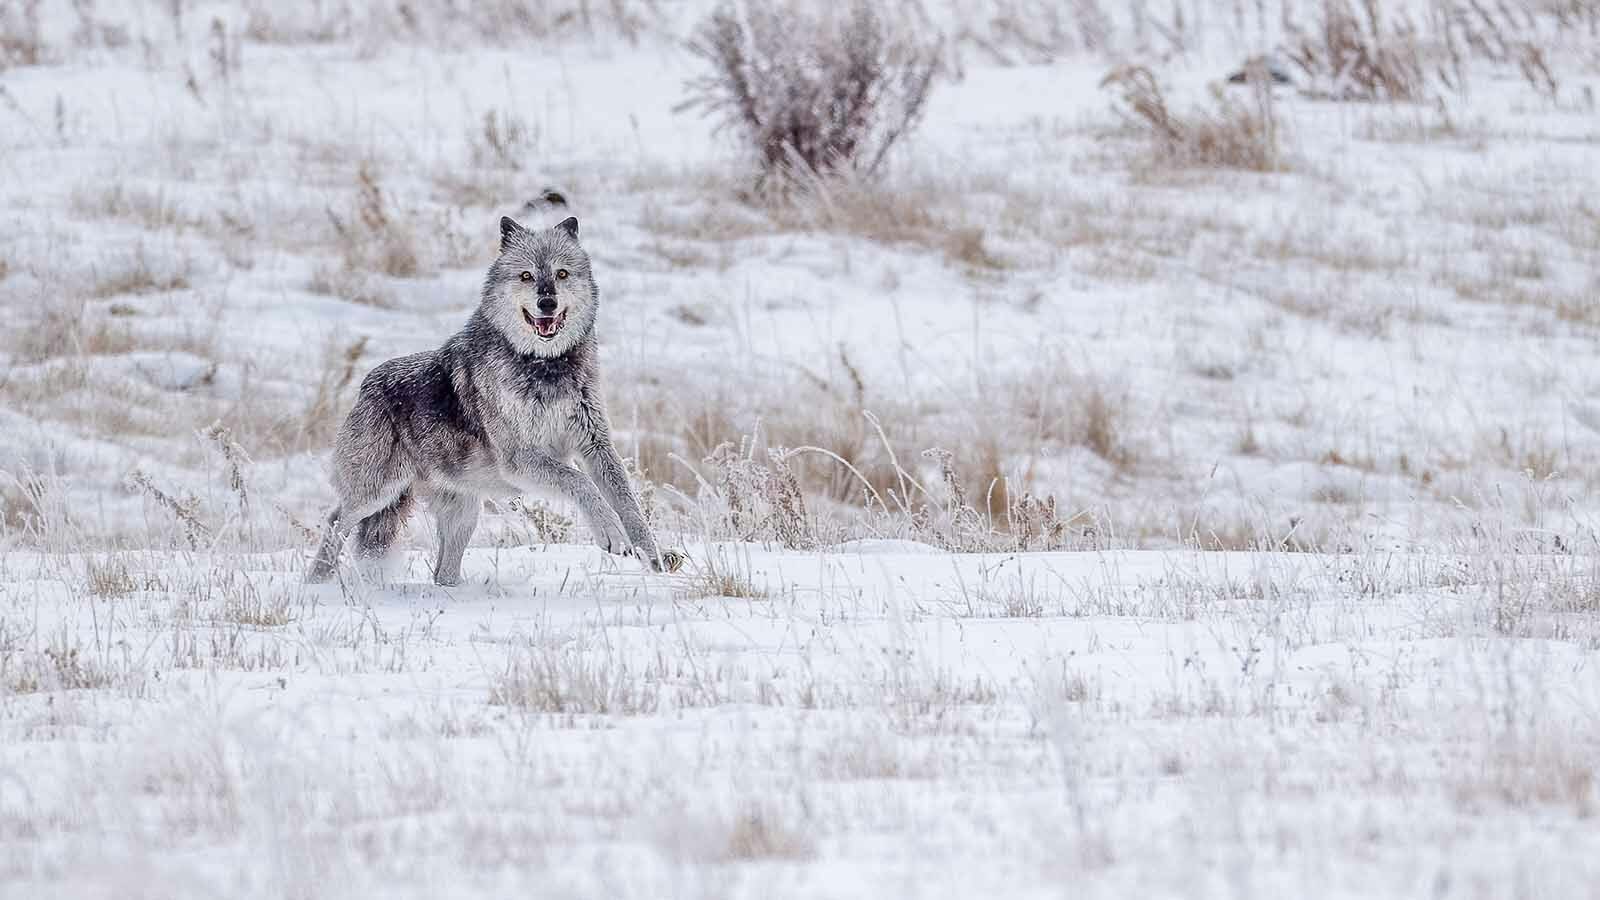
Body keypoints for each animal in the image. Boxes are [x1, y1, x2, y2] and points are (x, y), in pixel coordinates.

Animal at [307, 215, 672, 586]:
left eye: (561, 274)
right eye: (526, 276)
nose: (547, 303)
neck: (544, 366)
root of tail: (366, 384)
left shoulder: (596, 446)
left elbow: (629, 503)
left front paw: (654, 558)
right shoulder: (521, 459)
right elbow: (579, 482)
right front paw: (611, 535)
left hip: (464, 514)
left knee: (442, 572)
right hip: (375, 494)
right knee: (335, 520)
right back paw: (317, 582)